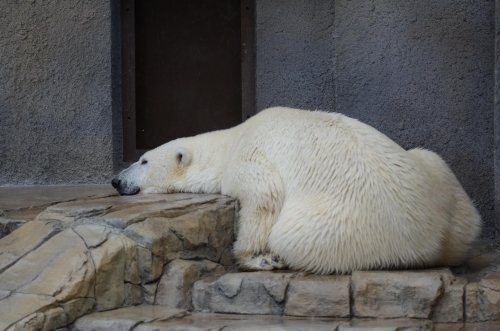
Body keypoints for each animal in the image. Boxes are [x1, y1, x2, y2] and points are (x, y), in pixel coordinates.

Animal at [112, 107, 480, 274]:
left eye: (143, 160)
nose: (116, 180)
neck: (232, 140)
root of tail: (432, 235)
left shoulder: (251, 156)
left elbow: (264, 197)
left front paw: (256, 257)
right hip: (440, 179)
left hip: (347, 222)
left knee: (294, 233)